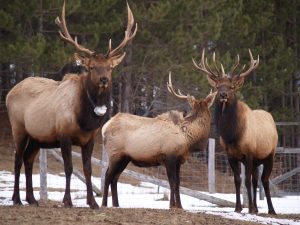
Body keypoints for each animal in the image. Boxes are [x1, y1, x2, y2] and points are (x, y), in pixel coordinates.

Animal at [5, 0, 137, 208]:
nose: (104, 79)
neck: (86, 120)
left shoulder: (89, 139)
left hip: (37, 137)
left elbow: (87, 169)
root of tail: (9, 93)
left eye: (109, 67)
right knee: (18, 159)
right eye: (91, 67)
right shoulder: (64, 135)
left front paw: (93, 202)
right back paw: (17, 199)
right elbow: (68, 168)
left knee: (28, 159)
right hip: (18, 127)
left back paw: (32, 199)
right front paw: (67, 201)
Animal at [101, 73, 216, 209]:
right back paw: (104, 204)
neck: (188, 139)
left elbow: (178, 183)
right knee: (108, 175)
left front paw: (180, 206)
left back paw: (116, 204)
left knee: (115, 177)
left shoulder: (178, 160)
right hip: (115, 154)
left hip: (124, 158)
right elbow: (172, 182)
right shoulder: (169, 157)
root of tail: (105, 127)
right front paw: (172, 205)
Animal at [193, 49, 278, 214]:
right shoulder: (231, 155)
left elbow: (246, 181)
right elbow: (237, 180)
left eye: (231, 87)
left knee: (264, 180)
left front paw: (249, 208)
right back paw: (257, 208)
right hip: (257, 160)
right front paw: (238, 207)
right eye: (218, 86)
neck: (232, 135)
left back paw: (271, 209)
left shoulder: (249, 153)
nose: (223, 95)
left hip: (270, 153)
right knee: (255, 180)